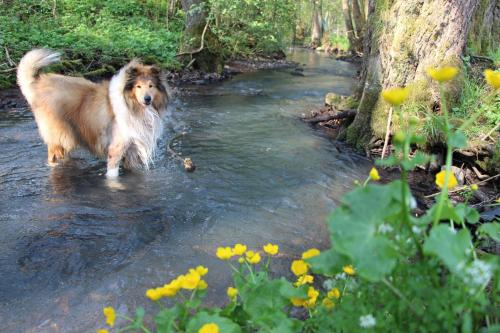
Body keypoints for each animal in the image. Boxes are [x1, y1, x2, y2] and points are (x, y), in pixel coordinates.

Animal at [16, 48, 169, 176]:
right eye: (138, 86)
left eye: (151, 86)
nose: (147, 99)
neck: (132, 105)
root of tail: (38, 84)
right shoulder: (115, 148)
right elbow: (112, 176)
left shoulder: (132, 151)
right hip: (61, 136)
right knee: (52, 157)